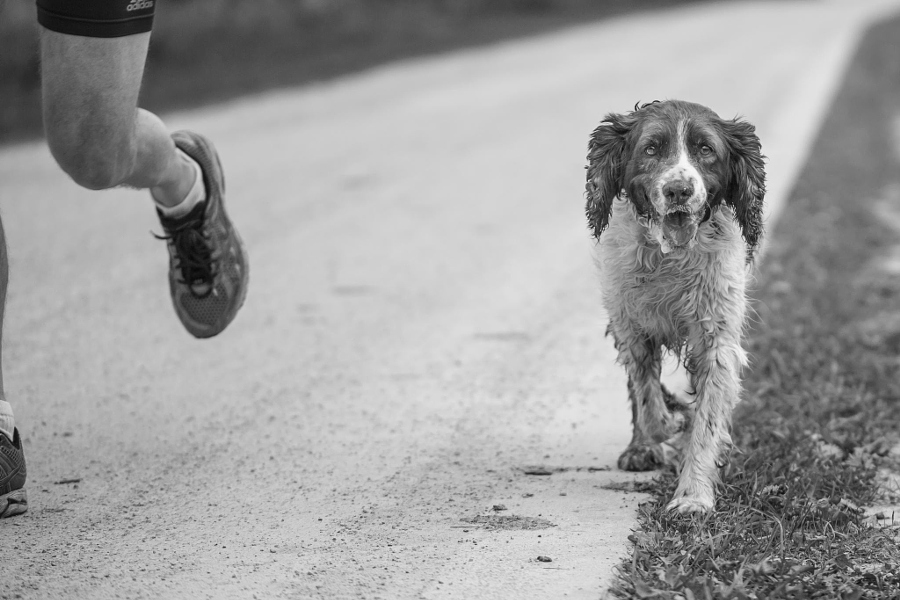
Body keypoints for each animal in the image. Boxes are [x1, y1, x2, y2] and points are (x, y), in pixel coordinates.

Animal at [584, 101, 768, 512]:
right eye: (651, 149)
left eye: (706, 149)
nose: (678, 190)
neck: (669, 257)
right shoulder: (631, 327)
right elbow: (649, 403)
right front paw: (672, 423)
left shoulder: (717, 337)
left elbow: (707, 420)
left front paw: (693, 496)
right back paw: (642, 447)